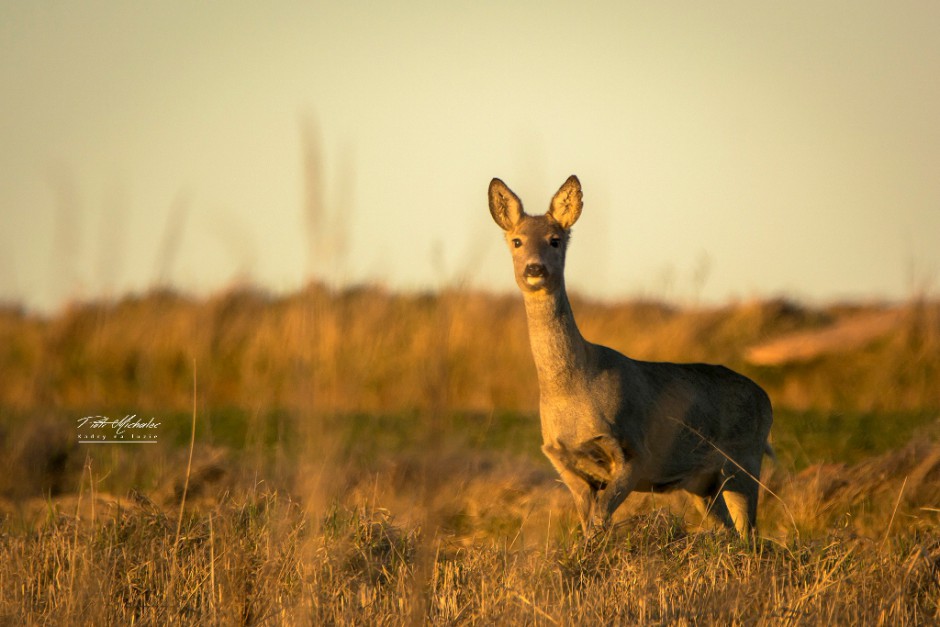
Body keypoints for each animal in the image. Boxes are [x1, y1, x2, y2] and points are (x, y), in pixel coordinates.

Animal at [488, 175, 776, 540]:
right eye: (517, 241)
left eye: (555, 240)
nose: (534, 268)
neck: (572, 388)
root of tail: (766, 398)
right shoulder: (565, 462)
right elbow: (589, 524)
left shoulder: (634, 451)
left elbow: (600, 521)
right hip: (703, 483)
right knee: (731, 530)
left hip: (744, 459)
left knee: (749, 533)